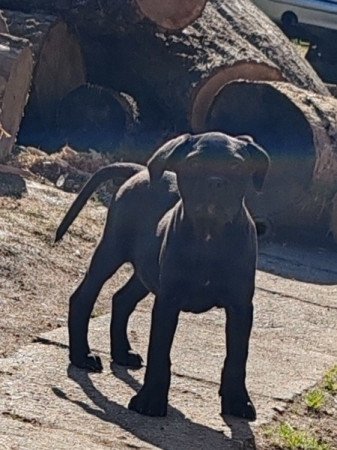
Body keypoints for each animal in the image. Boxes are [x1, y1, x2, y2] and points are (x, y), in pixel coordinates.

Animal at [55, 132, 270, 420]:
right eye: (194, 164)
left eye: (237, 166)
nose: (216, 183)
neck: (210, 236)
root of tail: (137, 171)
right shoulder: (169, 301)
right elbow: (159, 351)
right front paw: (151, 400)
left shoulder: (240, 306)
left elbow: (237, 357)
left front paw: (237, 401)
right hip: (111, 251)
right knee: (83, 297)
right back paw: (82, 355)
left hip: (145, 271)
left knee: (121, 299)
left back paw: (121, 353)